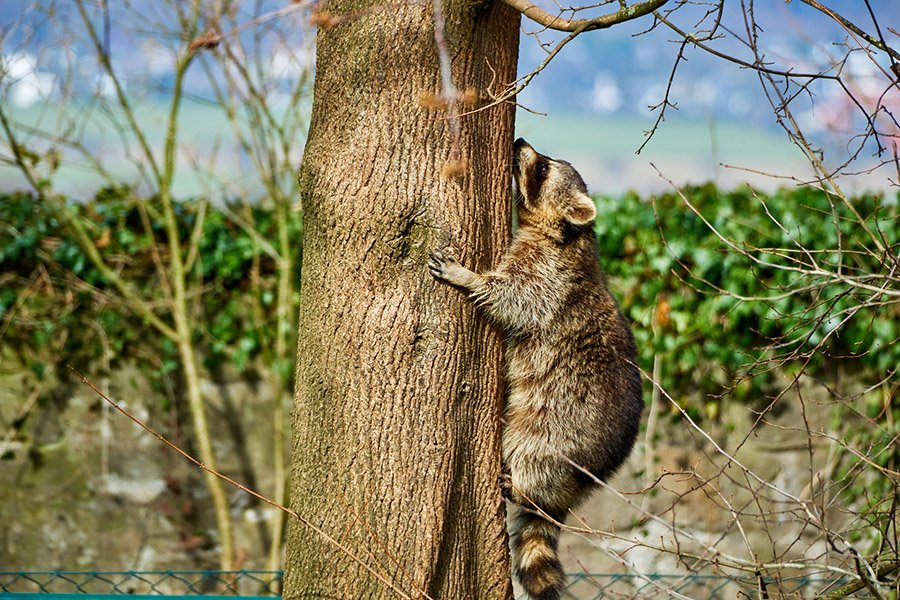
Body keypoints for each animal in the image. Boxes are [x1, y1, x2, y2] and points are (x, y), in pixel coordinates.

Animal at [428, 138, 643, 600]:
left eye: (542, 169)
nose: (520, 142)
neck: (569, 235)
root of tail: (584, 481)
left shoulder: (549, 275)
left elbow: (513, 297)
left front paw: (470, 277)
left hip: (560, 432)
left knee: (534, 456)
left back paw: (523, 488)